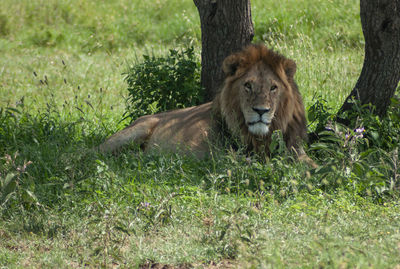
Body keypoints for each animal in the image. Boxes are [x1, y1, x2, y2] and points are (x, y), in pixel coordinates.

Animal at [99, 44, 316, 165]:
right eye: (247, 86)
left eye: (273, 88)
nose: (261, 111)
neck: (261, 136)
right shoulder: (222, 156)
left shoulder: (295, 148)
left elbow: (310, 165)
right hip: (134, 131)